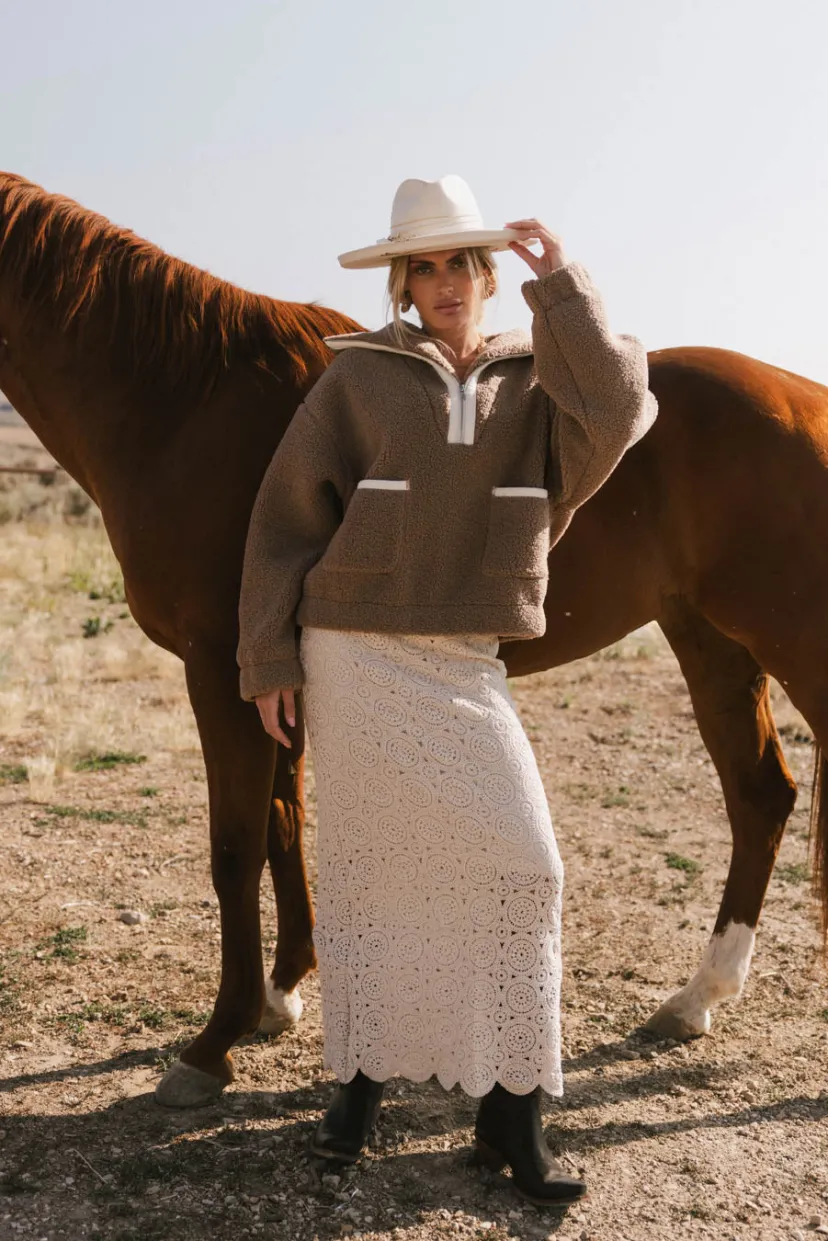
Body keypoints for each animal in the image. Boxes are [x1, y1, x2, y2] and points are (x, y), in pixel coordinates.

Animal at [0, 170, 824, 1111]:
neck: (181, 403)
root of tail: (807, 399)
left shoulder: (219, 669)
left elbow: (235, 844)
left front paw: (214, 1042)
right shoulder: (271, 671)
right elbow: (285, 824)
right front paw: (281, 994)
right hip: (714, 643)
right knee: (760, 796)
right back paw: (695, 998)